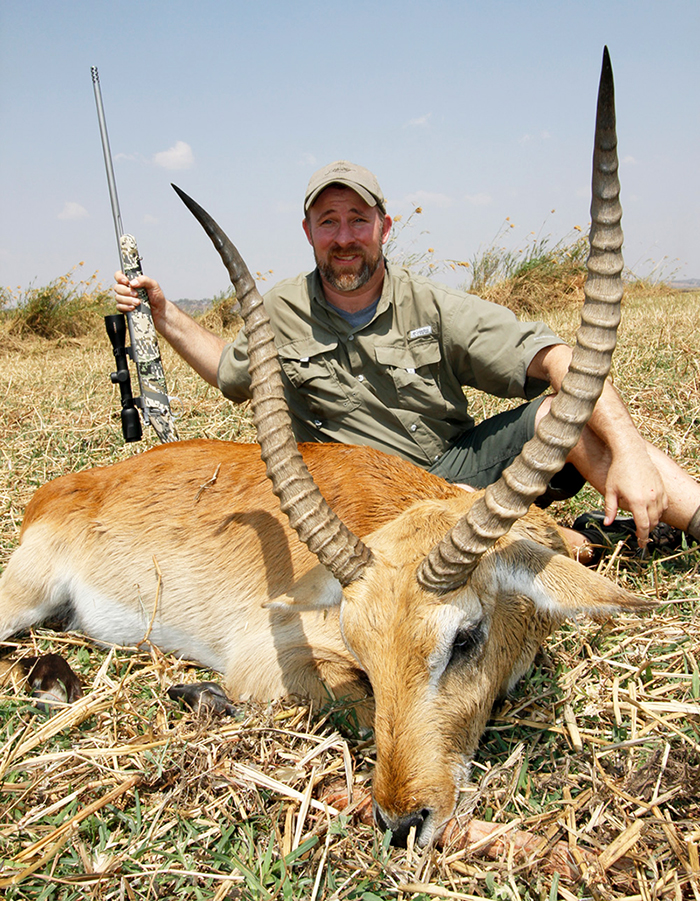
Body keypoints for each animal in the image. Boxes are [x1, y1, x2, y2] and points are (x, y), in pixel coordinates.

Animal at [0, 52, 652, 848]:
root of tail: (60, 490)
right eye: (361, 648)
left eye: (465, 638)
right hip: (22, 594)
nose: (403, 819)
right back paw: (62, 682)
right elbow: (342, 704)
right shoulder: (277, 653)